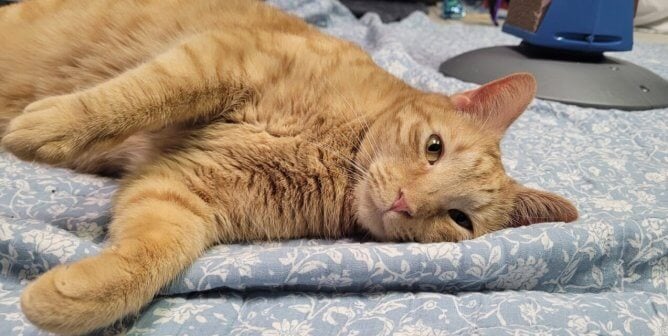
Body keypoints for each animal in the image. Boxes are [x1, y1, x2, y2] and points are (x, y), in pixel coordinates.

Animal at [0, 0, 576, 332]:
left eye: (460, 219)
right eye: (433, 148)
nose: (405, 203)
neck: (337, 154)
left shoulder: (182, 195)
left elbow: (151, 259)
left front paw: (67, 299)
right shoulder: (217, 59)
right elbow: (131, 98)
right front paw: (48, 127)